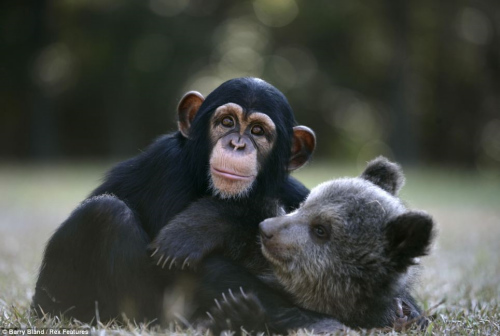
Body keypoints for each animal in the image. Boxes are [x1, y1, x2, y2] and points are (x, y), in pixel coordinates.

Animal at [32, 77, 340, 326]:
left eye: (257, 131)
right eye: (227, 122)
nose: (237, 144)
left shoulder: (297, 193)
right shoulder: (168, 167)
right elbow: (179, 267)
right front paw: (309, 320)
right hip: (54, 303)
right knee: (106, 213)